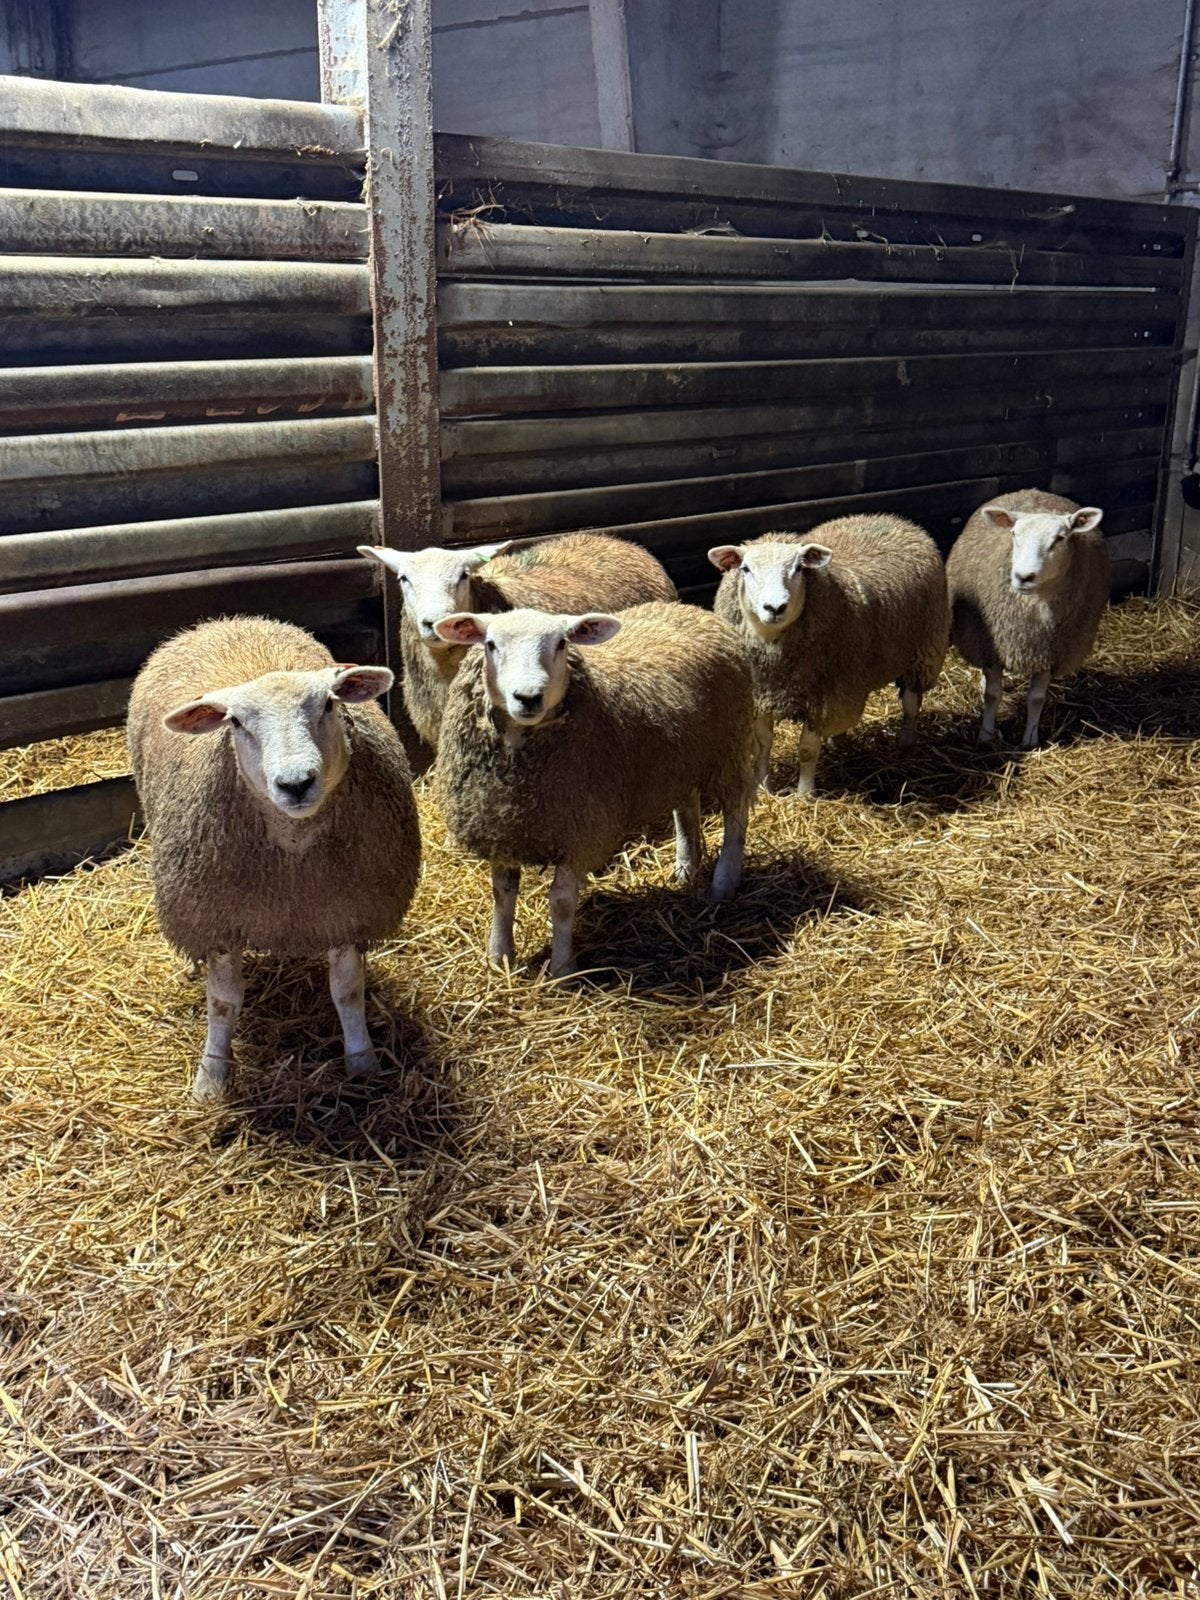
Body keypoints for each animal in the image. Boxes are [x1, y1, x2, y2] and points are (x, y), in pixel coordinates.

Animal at [127, 616, 421, 1102]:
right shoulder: (218, 920)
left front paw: (362, 1061)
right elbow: (224, 1003)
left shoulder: (348, 911)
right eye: (235, 721)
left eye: (329, 705)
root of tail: (225, 622)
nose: (296, 783)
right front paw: (212, 1076)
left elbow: (347, 992)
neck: (294, 845)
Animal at [431, 602, 757, 977]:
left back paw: (723, 882)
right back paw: (686, 868)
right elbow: (502, 894)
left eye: (561, 643)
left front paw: (562, 969)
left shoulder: (580, 833)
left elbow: (560, 903)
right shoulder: (500, 829)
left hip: (730, 747)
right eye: (490, 644)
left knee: (736, 813)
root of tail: (692, 609)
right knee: (687, 807)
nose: (528, 697)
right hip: (678, 760)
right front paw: (499, 957)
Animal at [708, 514, 949, 796]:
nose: (775, 607)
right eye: (746, 569)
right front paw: (762, 787)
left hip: (923, 652)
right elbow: (763, 745)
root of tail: (895, 520)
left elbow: (806, 750)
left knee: (911, 703)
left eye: (799, 568)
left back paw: (906, 741)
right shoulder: (760, 696)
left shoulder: (822, 699)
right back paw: (838, 742)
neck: (772, 649)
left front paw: (804, 795)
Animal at [946, 489, 1108, 749]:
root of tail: (1034, 491)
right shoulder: (991, 646)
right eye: (1014, 534)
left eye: (1060, 538)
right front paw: (986, 735)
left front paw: (1030, 740)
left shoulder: (1049, 653)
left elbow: (1036, 699)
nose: (1023, 577)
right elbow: (993, 695)